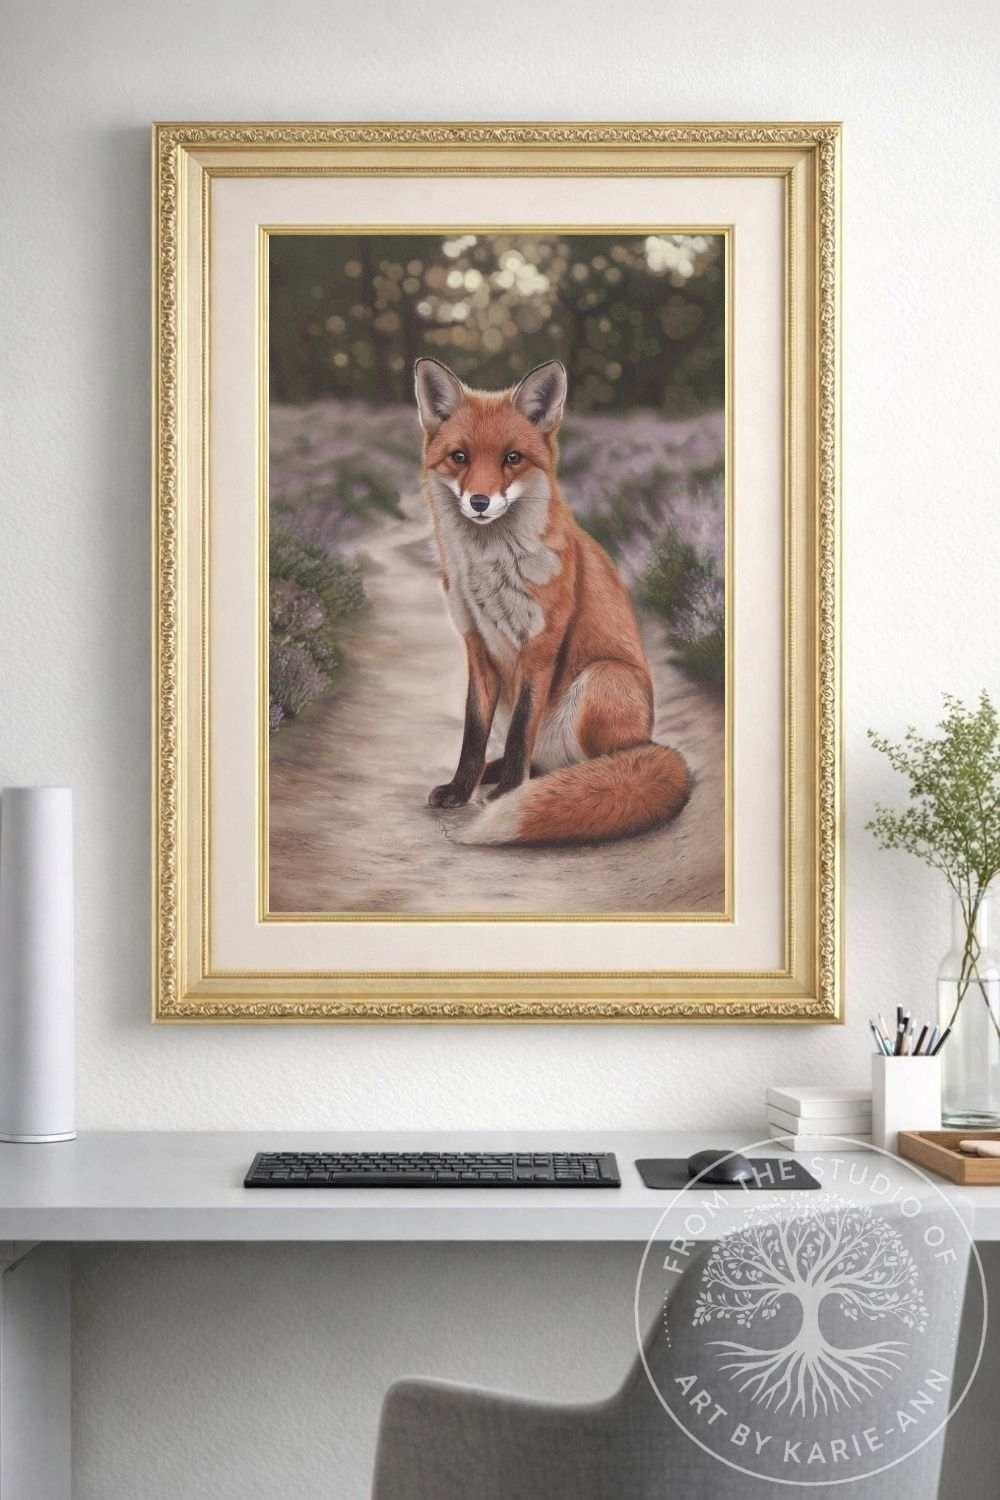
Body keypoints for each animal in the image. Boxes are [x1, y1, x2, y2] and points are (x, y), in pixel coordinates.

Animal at [414, 356, 690, 846]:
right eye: (460, 457)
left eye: (512, 458)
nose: (480, 502)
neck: (490, 568)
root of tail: (650, 743)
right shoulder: (477, 646)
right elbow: (474, 732)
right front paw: (461, 788)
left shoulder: (540, 645)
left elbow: (520, 730)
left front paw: (508, 794)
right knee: (536, 760)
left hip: (603, 677)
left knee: (592, 767)